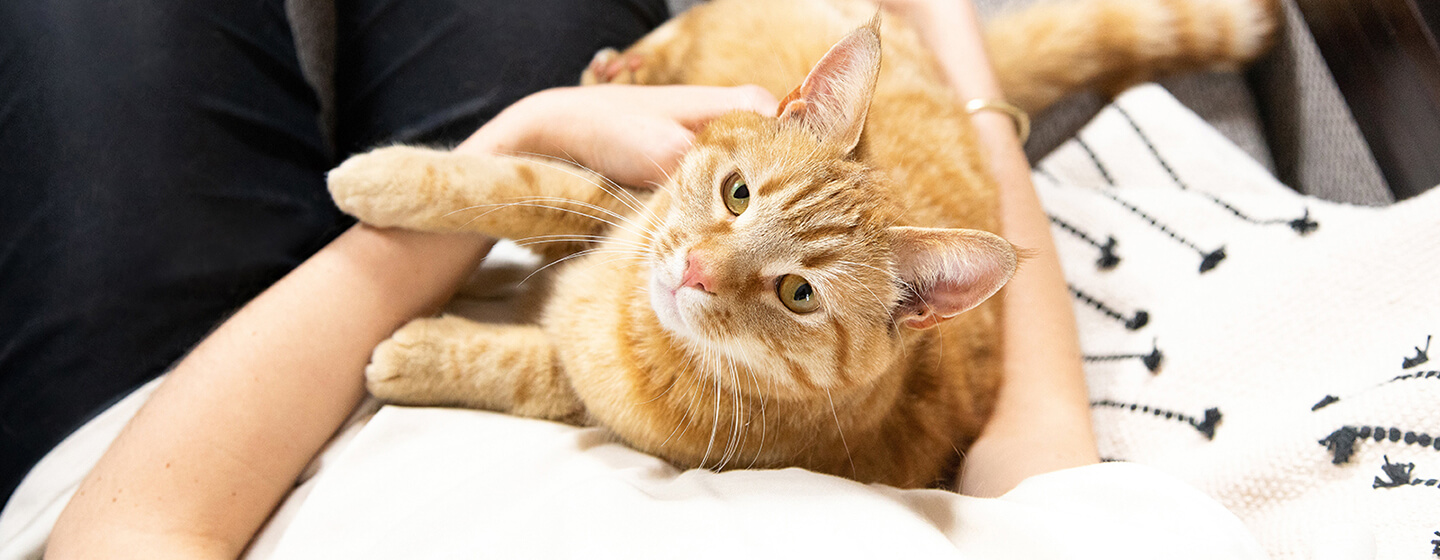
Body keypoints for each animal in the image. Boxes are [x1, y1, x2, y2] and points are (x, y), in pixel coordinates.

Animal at [329, 0, 1284, 483]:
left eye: (798, 294)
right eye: (736, 194)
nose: (695, 269)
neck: (623, 315)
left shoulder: (597, 399)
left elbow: (522, 365)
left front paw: (417, 354)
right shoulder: (619, 195)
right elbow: (518, 183)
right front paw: (383, 177)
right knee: (679, 29)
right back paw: (621, 65)